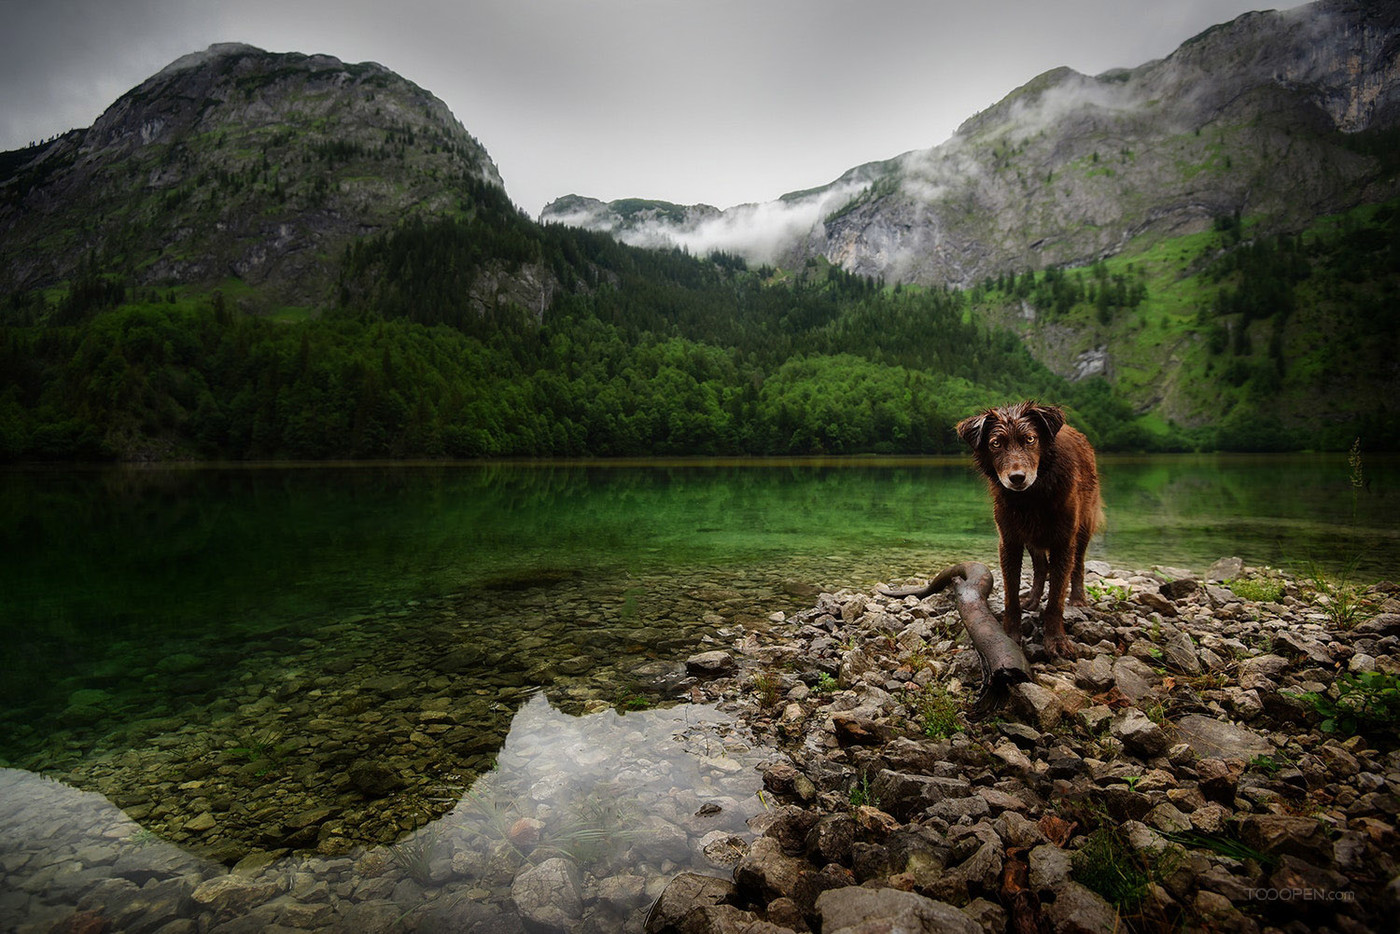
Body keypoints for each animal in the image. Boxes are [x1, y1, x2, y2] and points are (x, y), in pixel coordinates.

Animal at [952, 400, 1103, 658]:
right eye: (995, 443)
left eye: (1030, 439)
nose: (1017, 477)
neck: (1032, 497)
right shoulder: (1010, 541)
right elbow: (1011, 595)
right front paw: (1010, 635)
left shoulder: (1064, 542)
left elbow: (1056, 599)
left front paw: (1056, 640)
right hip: (1033, 538)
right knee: (1041, 568)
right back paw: (1032, 599)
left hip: (1083, 527)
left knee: (1079, 564)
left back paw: (1078, 598)